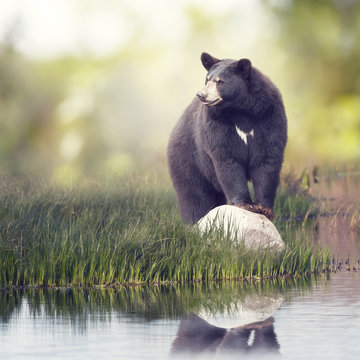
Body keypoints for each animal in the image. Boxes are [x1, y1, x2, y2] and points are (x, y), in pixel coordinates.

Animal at [167, 52, 286, 224]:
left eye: (220, 82)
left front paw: (264, 208)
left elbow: (267, 160)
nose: (201, 94)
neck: (241, 110)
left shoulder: (269, 116)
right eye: (207, 79)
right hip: (188, 157)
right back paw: (194, 220)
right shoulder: (217, 123)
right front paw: (245, 204)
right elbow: (227, 159)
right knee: (194, 193)